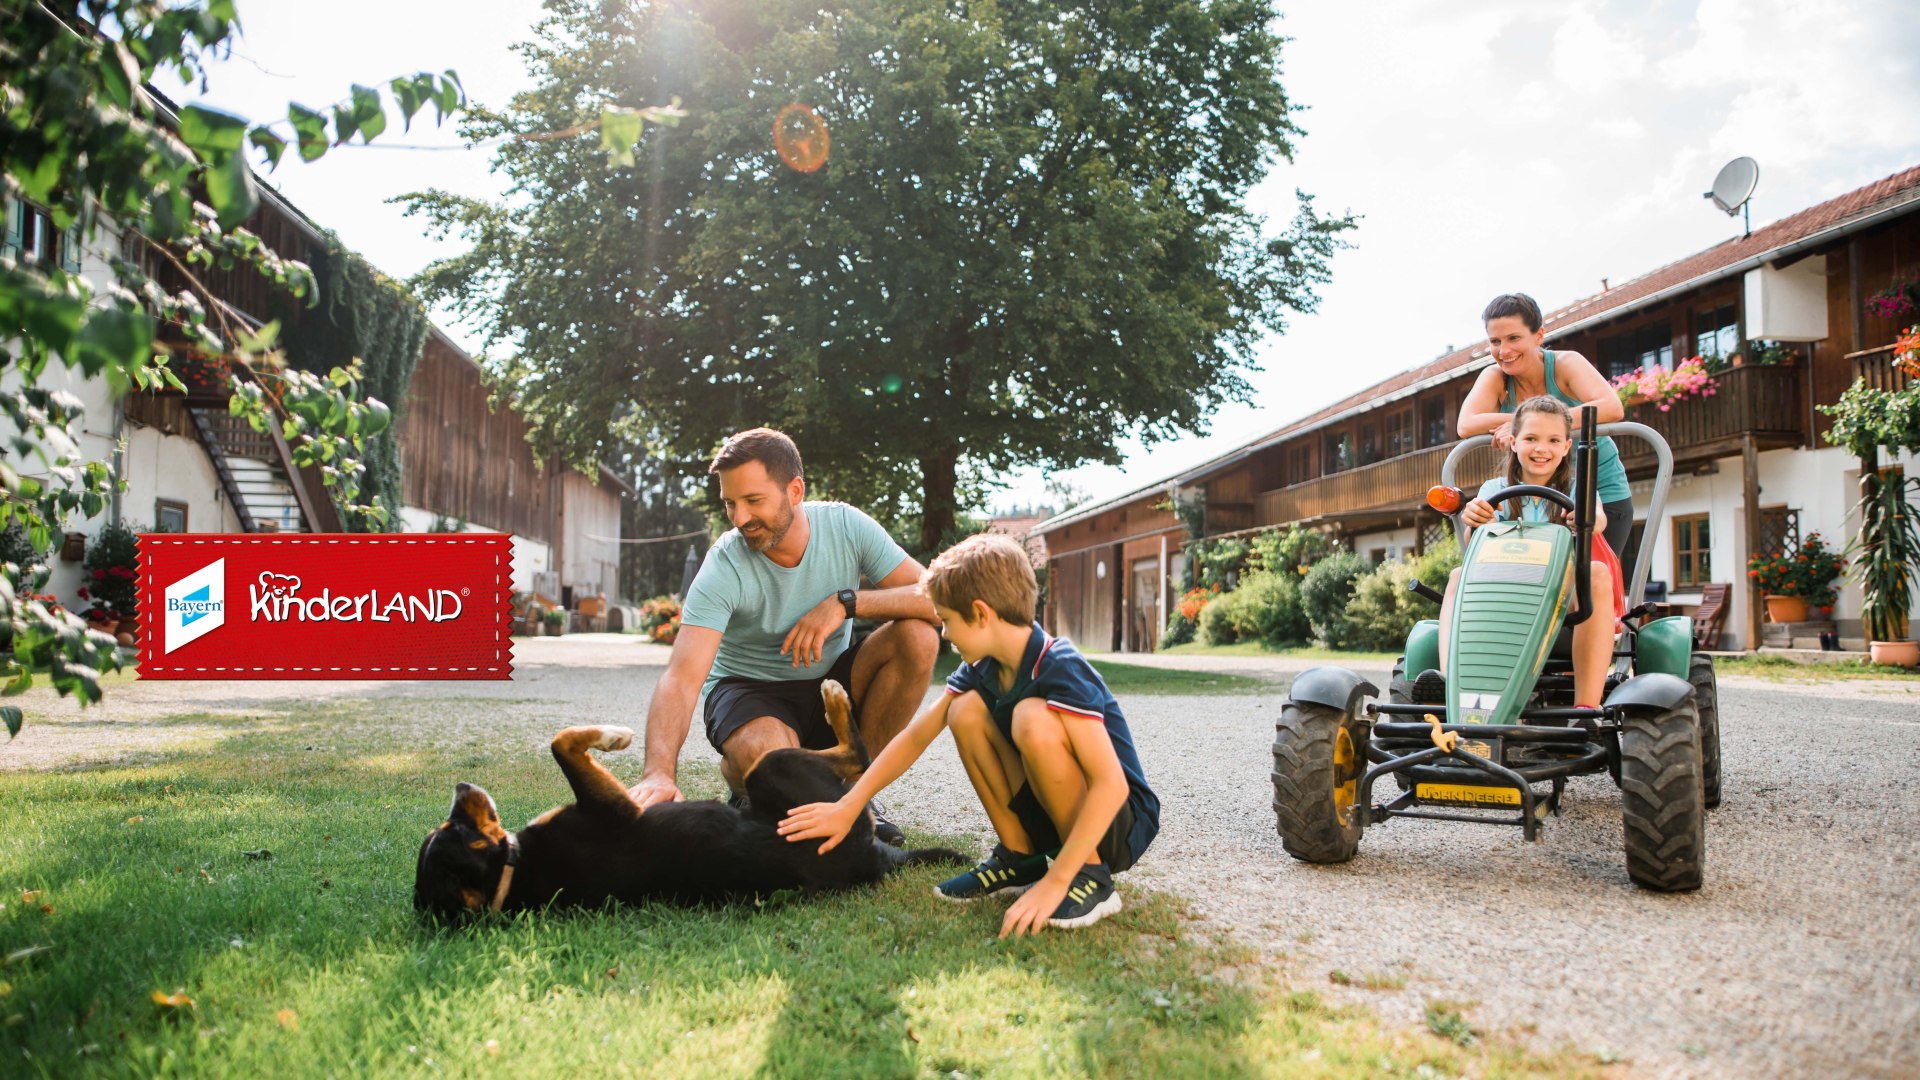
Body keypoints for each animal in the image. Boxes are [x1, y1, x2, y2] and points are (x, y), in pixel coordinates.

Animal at [414, 676, 967, 910]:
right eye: (457, 827)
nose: (462, 786)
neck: (514, 875)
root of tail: (872, 860)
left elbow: (562, 742)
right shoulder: (614, 809)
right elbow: (561, 741)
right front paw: (613, 736)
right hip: (776, 769)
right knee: (861, 757)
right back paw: (834, 698)